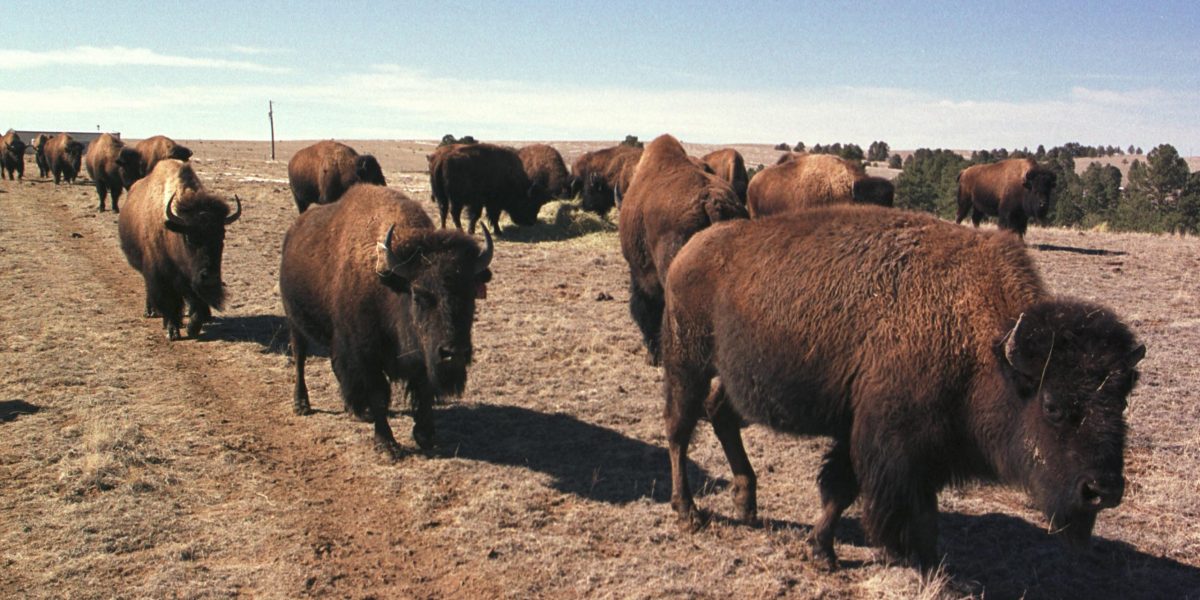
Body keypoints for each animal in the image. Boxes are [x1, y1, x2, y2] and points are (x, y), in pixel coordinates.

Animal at [118, 159, 241, 340]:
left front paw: (192, 328)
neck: (173, 231)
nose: (210, 277)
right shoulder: (161, 277)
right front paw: (173, 331)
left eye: (222, 235)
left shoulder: (191, 279)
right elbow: (170, 303)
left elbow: (197, 303)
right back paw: (151, 313)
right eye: (189, 237)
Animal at [279, 184, 493, 457]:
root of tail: (293, 231)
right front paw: (387, 443)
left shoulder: (422, 355)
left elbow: (423, 390)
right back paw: (302, 404)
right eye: (419, 293)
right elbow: (379, 394)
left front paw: (426, 436)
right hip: (295, 322)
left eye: (470, 293)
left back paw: (356, 409)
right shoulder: (368, 354)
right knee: (300, 357)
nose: (453, 353)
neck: (392, 285)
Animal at [661, 204, 1144, 569]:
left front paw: (923, 556)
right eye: (1053, 406)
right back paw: (688, 512)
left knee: (720, 415)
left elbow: (886, 498)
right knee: (679, 428)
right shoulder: (886, 439)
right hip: (687, 362)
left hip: (733, 377)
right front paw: (828, 553)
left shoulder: (914, 446)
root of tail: (692, 249)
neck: (984, 343)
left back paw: (746, 503)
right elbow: (848, 490)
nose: (1102, 490)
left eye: (1120, 402)